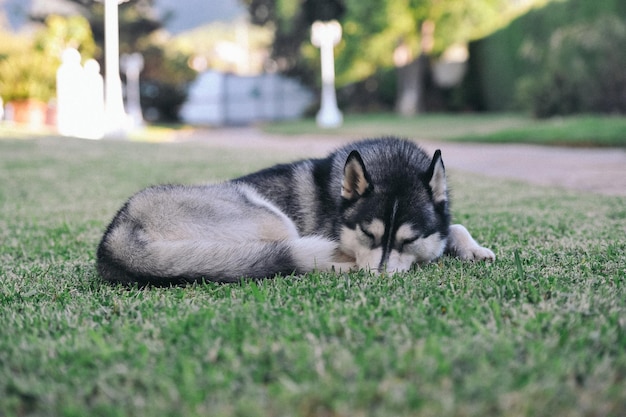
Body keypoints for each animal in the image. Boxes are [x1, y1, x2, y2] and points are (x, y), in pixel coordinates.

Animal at [96, 138, 492, 284]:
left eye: (408, 240)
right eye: (368, 233)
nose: (376, 279)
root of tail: (116, 232)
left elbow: (453, 227)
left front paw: (473, 248)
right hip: (273, 220)